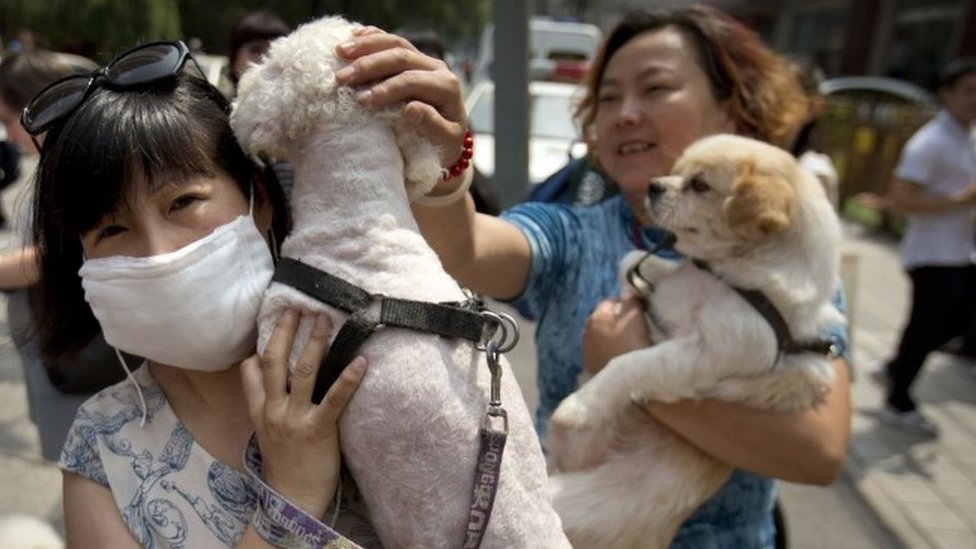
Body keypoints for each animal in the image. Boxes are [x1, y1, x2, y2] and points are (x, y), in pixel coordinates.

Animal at [544, 134, 844, 548]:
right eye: (675, 172)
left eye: (700, 185)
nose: (654, 185)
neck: (724, 279)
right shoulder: (663, 282)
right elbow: (631, 261)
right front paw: (627, 299)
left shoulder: (711, 351)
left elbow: (632, 361)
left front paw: (581, 404)